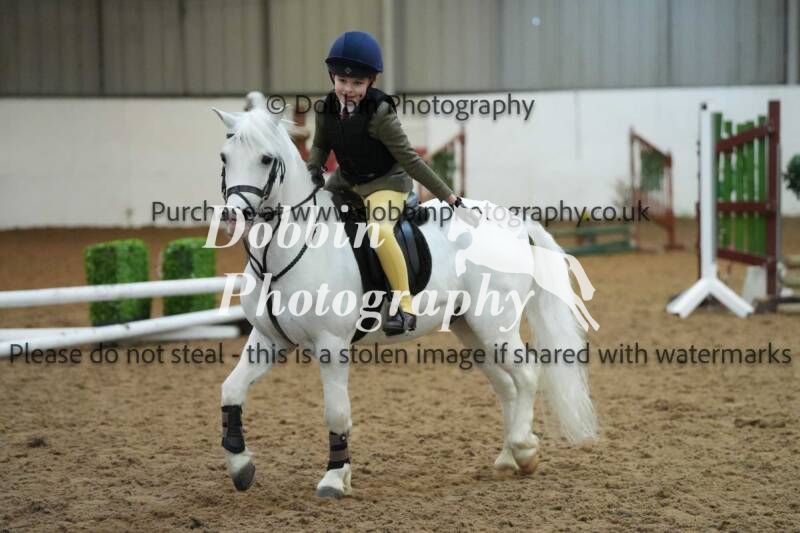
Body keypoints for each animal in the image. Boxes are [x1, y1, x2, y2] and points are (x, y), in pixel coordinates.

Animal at [211, 104, 598, 498]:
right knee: (507, 385)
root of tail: (514, 222)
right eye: (225, 157)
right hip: (470, 328)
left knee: (527, 374)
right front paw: (241, 465)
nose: (232, 216)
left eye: (265, 158)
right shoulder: (268, 340)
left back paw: (524, 449)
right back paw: (509, 458)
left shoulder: (331, 345)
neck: (286, 250)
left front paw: (334, 478)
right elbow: (231, 391)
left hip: (495, 325)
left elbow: (336, 411)